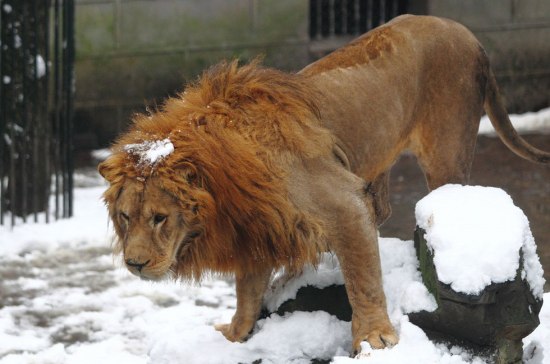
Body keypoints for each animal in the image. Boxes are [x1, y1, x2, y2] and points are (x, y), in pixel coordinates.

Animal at [99, 15, 550, 354]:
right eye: (125, 217)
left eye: (159, 218)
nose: (134, 263)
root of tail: (468, 34)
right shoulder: (259, 224)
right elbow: (247, 290)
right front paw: (236, 334)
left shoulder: (342, 202)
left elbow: (362, 279)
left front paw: (374, 338)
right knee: (383, 208)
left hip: (446, 149)